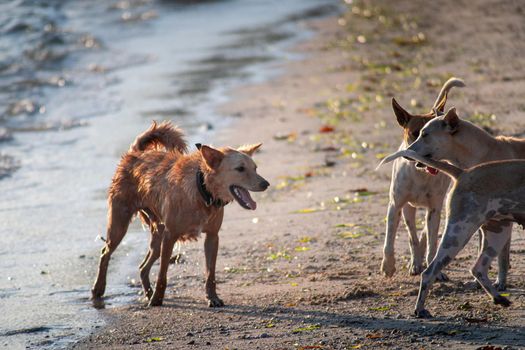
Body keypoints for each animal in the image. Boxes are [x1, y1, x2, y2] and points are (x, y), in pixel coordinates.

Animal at [90, 121, 268, 308]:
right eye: (240, 169)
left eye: (255, 168)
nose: (266, 184)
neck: (202, 189)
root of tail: (135, 153)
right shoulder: (170, 236)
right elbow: (162, 274)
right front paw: (157, 299)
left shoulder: (212, 237)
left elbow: (210, 274)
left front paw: (212, 297)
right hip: (120, 224)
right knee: (105, 253)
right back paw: (99, 288)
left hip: (157, 235)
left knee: (142, 267)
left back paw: (148, 293)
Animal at [376, 149, 524, 318]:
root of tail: (463, 172)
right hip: (458, 233)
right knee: (429, 272)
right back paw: (420, 309)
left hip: (498, 234)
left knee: (477, 269)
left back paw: (499, 299)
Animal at [380, 78, 462, 278]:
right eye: (415, 133)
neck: (421, 175)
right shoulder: (395, 205)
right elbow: (390, 239)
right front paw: (388, 265)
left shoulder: (434, 208)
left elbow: (432, 242)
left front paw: (435, 270)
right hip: (408, 208)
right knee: (412, 234)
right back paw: (415, 262)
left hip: (436, 208)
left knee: (426, 232)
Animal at [406, 108, 516, 290]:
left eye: (425, 134)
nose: (407, 154)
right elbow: (482, 250)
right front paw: (477, 282)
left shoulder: (503, 218)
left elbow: (502, 257)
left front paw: (500, 283)